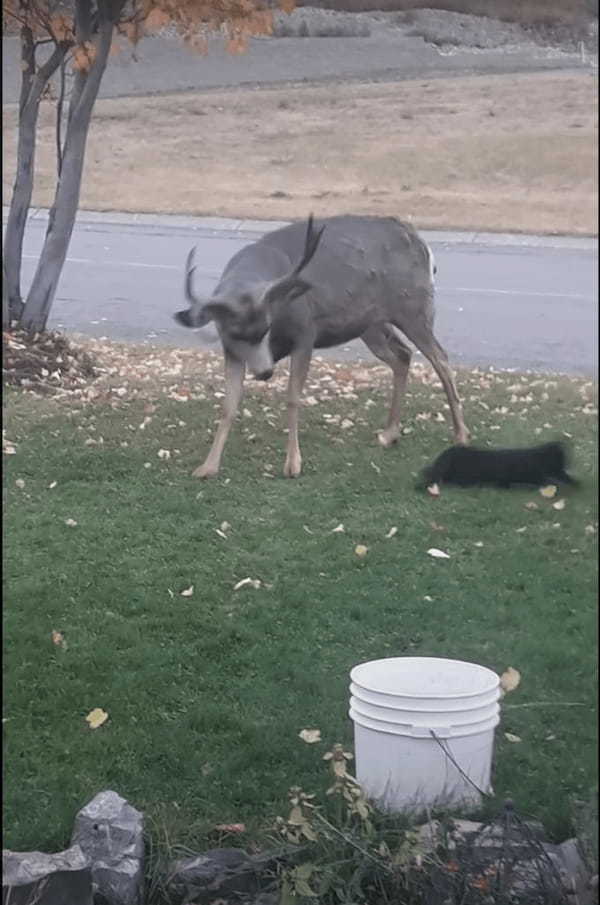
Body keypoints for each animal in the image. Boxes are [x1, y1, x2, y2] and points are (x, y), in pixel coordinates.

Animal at [173, 215, 468, 476]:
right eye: (233, 333)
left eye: (266, 327)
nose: (265, 372)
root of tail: (423, 244)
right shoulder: (232, 352)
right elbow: (228, 405)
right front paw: (207, 467)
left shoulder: (306, 333)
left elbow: (293, 397)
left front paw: (293, 464)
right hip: (369, 323)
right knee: (402, 355)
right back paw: (389, 434)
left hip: (413, 308)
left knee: (440, 358)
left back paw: (461, 435)